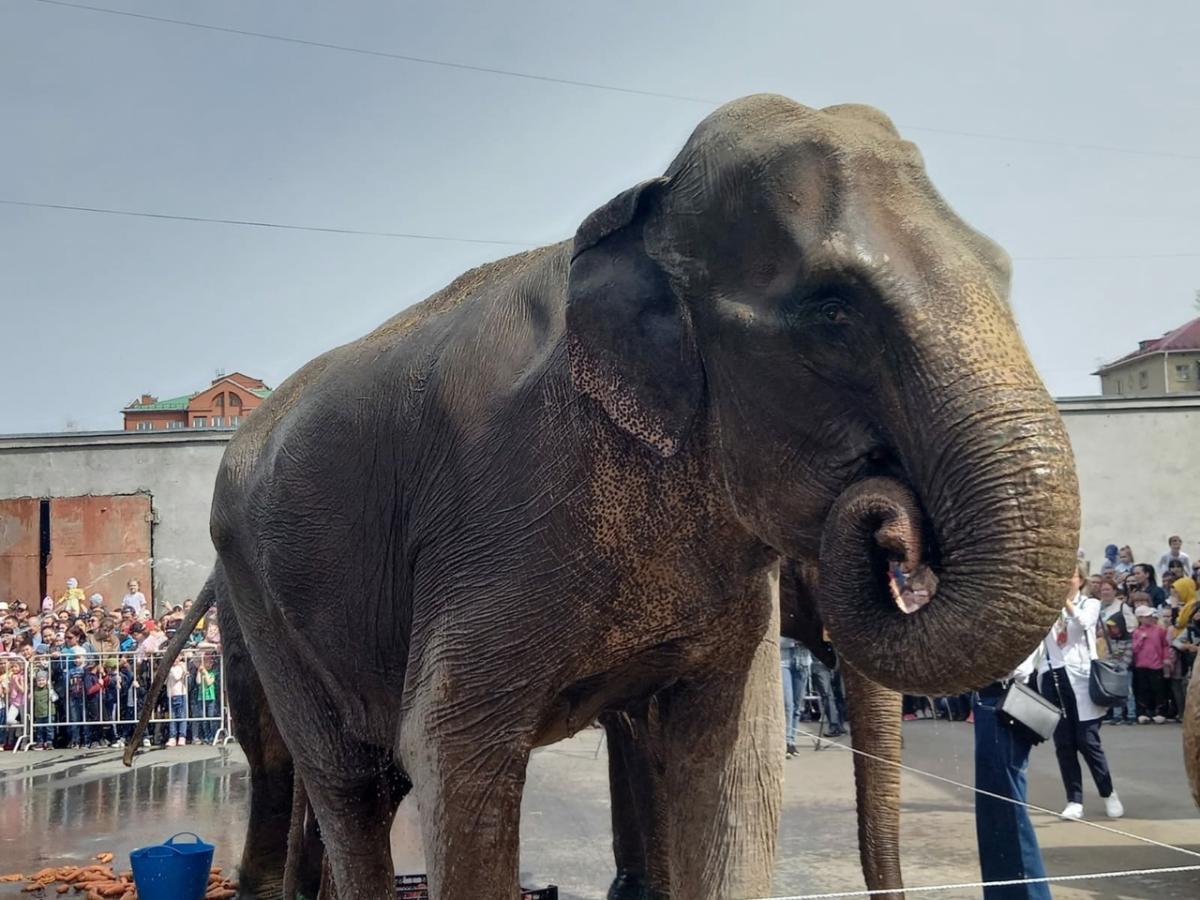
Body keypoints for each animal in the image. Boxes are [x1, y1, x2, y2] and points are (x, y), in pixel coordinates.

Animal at [124, 93, 1080, 900]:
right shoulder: (503, 520)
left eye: (1003, 269)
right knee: (344, 778)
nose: (895, 527)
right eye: (832, 313)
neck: (640, 215)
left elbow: (731, 771)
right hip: (260, 603)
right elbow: (449, 748)